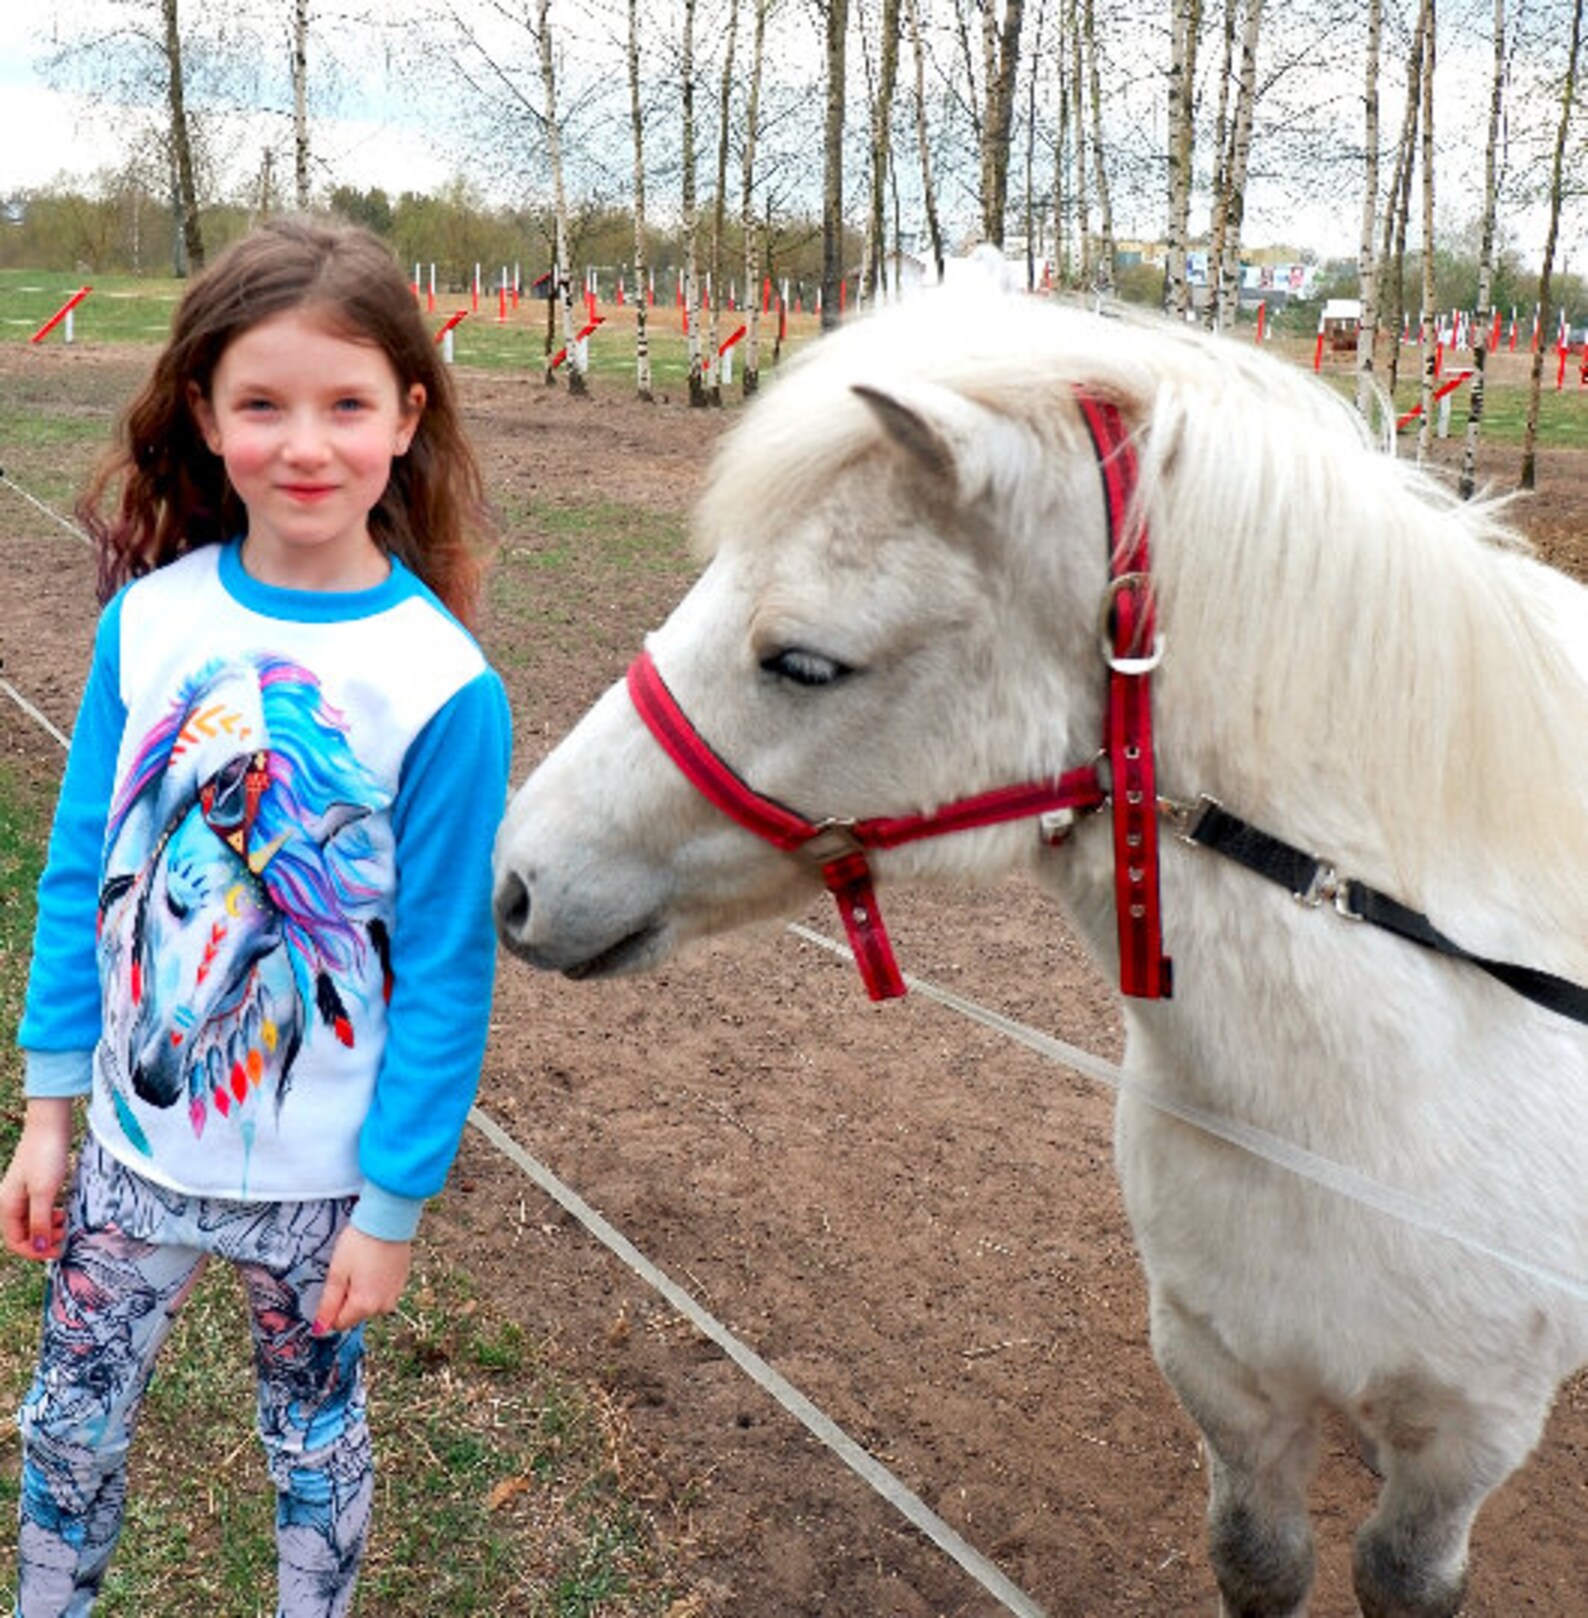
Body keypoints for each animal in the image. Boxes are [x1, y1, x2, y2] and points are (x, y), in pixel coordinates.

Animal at [491, 289, 1588, 1618]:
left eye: (802, 660)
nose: (517, 882)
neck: (1377, 1104)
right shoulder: (1227, 1385)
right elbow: (1259, 1561)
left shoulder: (1465, 1444)